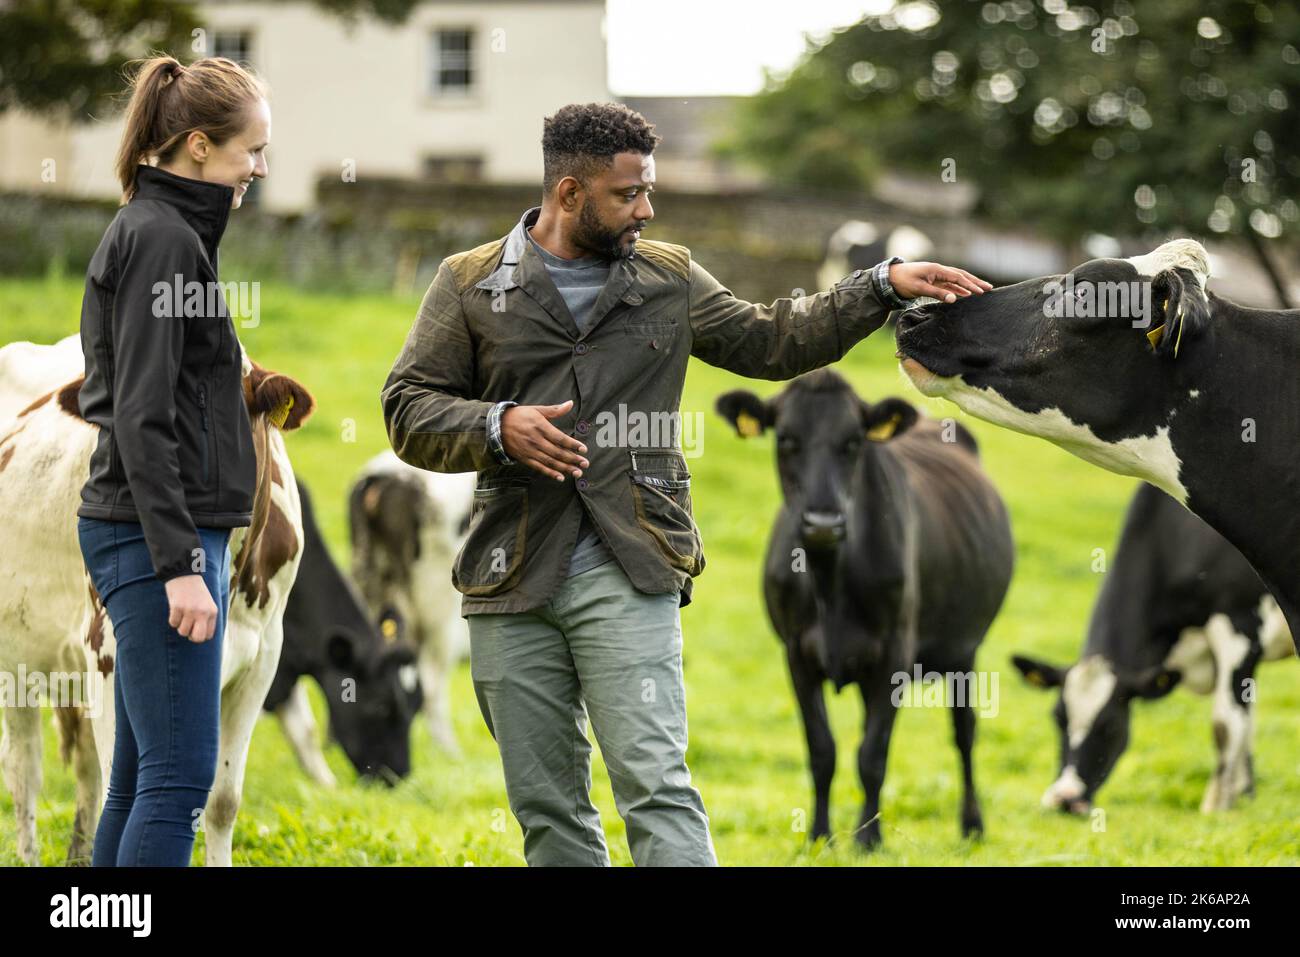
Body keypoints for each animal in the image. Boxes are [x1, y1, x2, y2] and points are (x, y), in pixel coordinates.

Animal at [0, 335, 313, 868]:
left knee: (82, 768)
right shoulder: (106, 651)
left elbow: (222, 800)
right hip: (16, 659)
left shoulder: (263, 657)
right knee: (25, 771)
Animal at [263, 475, 421, 785]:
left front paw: (326, 787)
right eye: (380, 707)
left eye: (414, 705)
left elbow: (305, 732)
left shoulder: (282, 664)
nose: (398, 776)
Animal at [717, 369, 1008, 847]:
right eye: (787, 439)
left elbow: (872, 754)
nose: (823, 522)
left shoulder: (894, 654)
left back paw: (972, 825)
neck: (829, 582)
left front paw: (868, 840)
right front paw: (820, 836)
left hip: (966, 649)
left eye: (853, 442)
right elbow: (822, 750)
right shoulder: (796, 653)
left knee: (965, 733)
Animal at [1008, 486, 1294, 816]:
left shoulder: (1240, 625)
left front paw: (1217, 808)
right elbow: (1246, 724)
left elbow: (1227, 724)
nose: (1065, 799)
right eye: (1058, 718)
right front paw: (1243, 798)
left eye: (1110, 726)